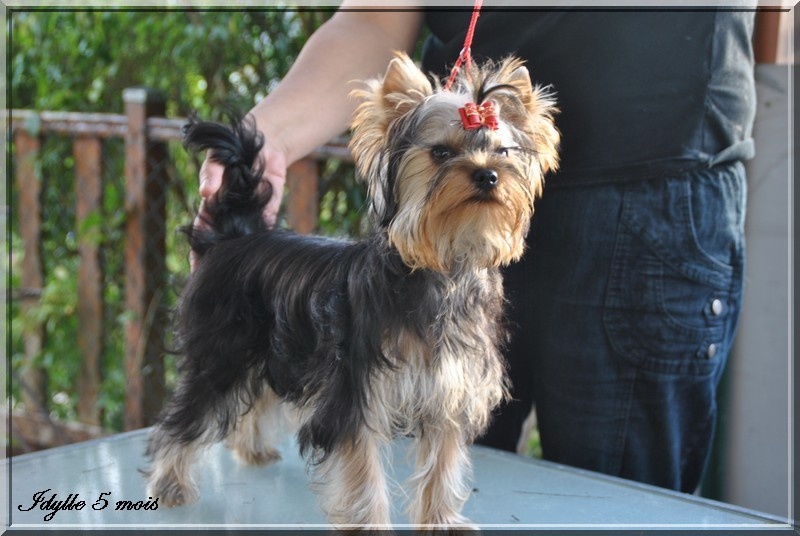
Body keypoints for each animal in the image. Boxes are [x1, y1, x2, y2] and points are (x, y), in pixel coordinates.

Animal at [145, 52, 556, 528]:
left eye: (503, 151)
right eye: (440, 153)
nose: (488, 175)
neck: (444, 266)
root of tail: (234, 236)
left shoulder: (447, 390)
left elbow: (443, 461)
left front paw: (441, 522)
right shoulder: (355, 390)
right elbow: (362, 469)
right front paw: (371, 524)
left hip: (273, 345)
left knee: (258, 390)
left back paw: (252, 449)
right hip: (223, 348)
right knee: (192, 408)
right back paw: (170, 483)